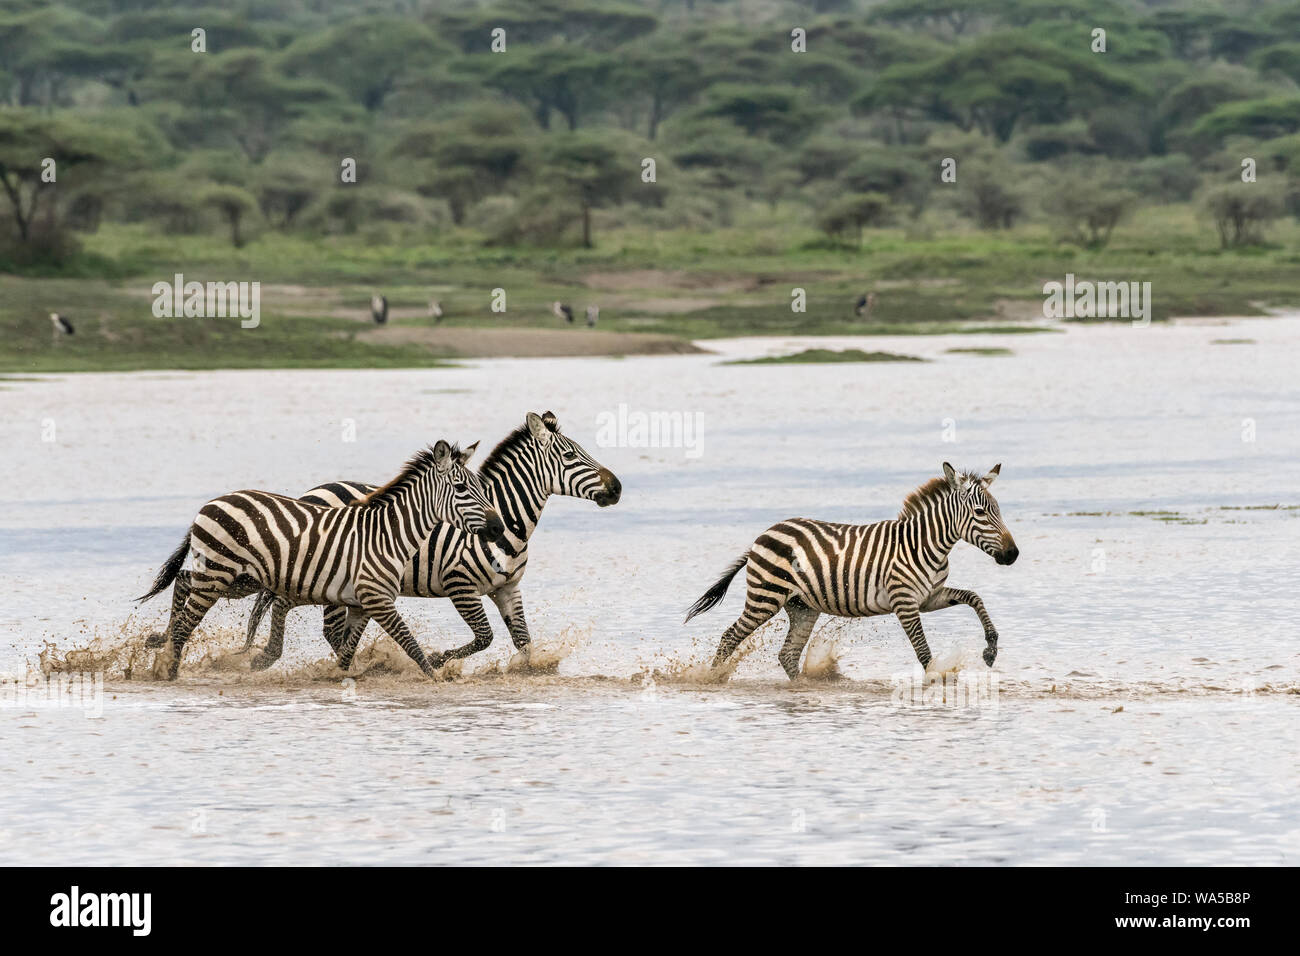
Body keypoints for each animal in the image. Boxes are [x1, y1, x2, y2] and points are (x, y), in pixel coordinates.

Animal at [138, 441, 504, 680]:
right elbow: (409, 642)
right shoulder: (378, 597)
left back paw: (160, 644)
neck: (390, 533)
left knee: (183, 581)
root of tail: (211, 502)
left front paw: (335, 675)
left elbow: (348, 649)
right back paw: (167, 668)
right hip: (219, 573)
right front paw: (436, 677)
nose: (499, 528)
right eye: (461, 488)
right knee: (187, 618)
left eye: (481, 486)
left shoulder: (362, 602)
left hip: (233, 578)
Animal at [193, 411, 622, 671]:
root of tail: (310, 493)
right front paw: (439, 657)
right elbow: (484, 638)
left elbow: (524, 642)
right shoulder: (460, 585)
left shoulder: (508, 589)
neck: (504, 523)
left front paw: (529, 672)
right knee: (323, 626)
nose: (617, 488)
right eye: (571, 456)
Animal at [684, 463, 1018, 680]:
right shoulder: (905, 602)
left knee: (787, 654)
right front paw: (938, 679)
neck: (924, 544)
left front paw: (990, 648)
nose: (1013, 554)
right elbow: (923, 651)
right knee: (730, 636)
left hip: (802, 607)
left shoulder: (929, 597)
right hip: (765, 598)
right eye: (980, 513)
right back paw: (712, 678)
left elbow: (974, 597)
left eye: (998, 510)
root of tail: (763, 534)